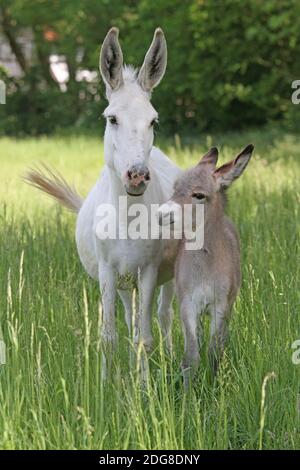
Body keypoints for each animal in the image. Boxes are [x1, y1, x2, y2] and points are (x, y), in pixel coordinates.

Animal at [158, 144, 254, 386]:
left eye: (199, 195)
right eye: (175, 188)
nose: (161, 214)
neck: (205, 270)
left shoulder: (222, 305)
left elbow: (214, 351)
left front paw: (213, 384)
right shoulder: (187, 303)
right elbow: (191, 355)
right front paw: (189, 391)